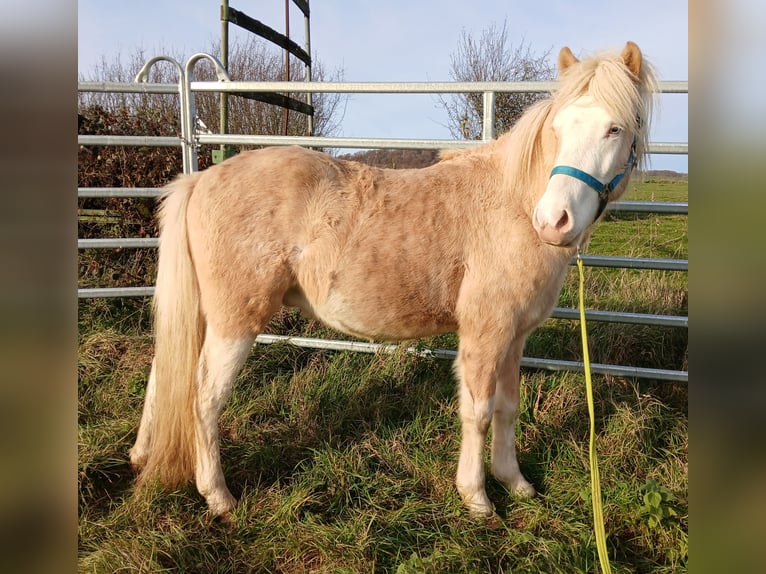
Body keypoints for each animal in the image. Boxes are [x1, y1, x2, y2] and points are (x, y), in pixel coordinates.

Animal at [129, 42, 657, 518]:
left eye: (615, 128)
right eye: (558, 128)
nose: (554, 221)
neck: (510, 206)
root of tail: (200, 179)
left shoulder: (514, 336)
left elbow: (507, 408)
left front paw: (516, 483)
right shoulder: (485, 335)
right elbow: (478, 412)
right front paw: (478, 498)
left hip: (202, 314)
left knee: (163, 372)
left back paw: (142, 455)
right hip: (234, 322)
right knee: (203, 399)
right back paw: (218, 497)